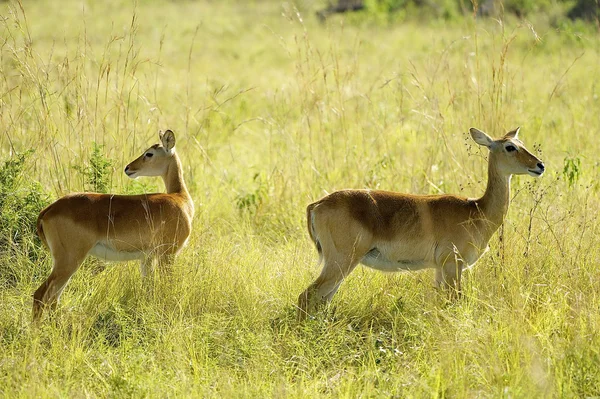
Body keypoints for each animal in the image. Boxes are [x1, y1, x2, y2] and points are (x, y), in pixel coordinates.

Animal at [32, 130, 193, 322]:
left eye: (149, 153)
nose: (128, 168)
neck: (179, 198)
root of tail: (48, 210)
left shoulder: (147, 258)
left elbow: (147, 289)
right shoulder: (168, 255)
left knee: (52, 299)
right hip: (69, 261)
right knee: (41, 295)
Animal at [298, 126, 548, 320]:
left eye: (521, 142)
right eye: (510, 147)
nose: (540, 165)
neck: (476, 210)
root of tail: (316, 205)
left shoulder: (440, 268)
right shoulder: (452, 264)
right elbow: (455, 301)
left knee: (321, 300)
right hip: (341, 261)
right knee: (307, 296)